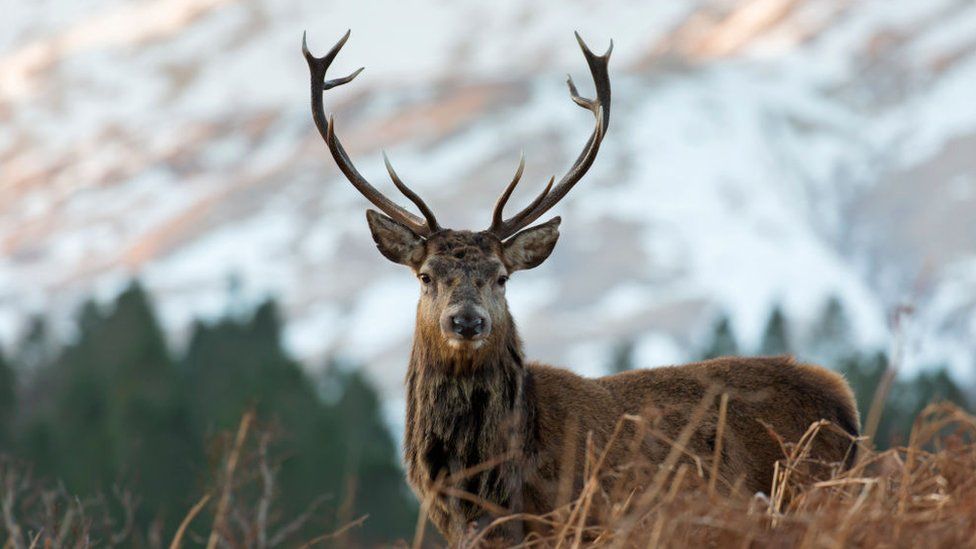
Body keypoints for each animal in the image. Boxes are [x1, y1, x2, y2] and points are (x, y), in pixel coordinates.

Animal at [302, 31, 856, 544]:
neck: (486, 482)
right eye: (425, 276)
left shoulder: (573, 519)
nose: (467, 321)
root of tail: (844, 406)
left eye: (501, 277)